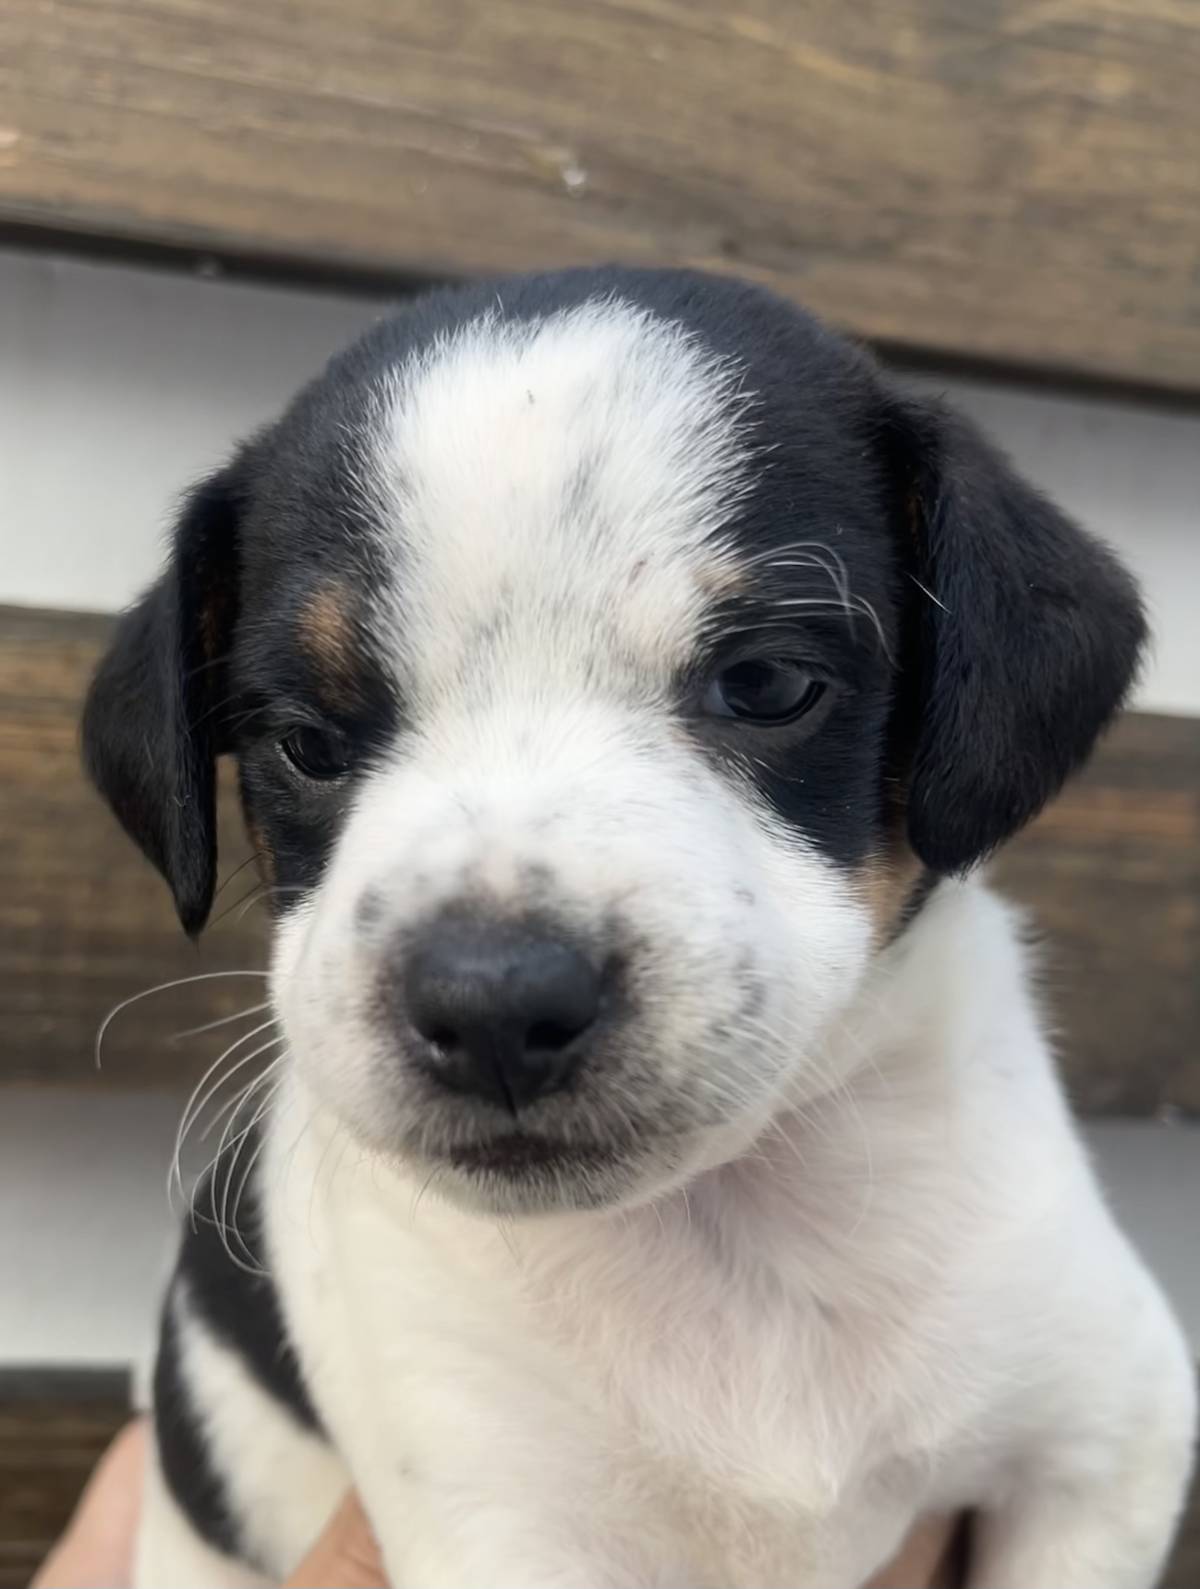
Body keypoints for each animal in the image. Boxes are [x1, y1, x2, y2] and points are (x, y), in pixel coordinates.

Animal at [84, 267, 1195, 1588]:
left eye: (768, 683)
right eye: (305, 741)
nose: (494, 1003)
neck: (718, 1228)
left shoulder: (1104, 1444)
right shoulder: (506, 1528)